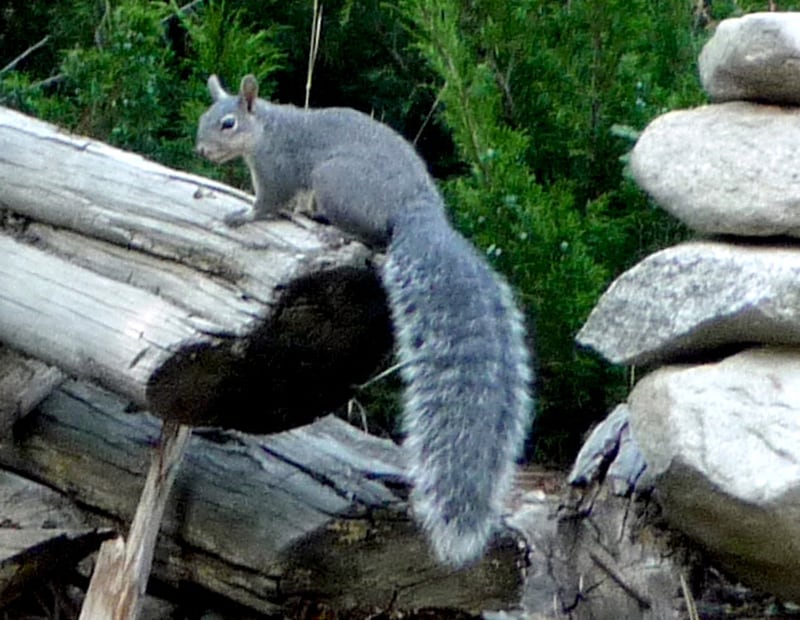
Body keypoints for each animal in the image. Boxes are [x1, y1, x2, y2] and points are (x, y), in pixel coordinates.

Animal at [195, 74, 536, 568]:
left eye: (228, 123)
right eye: (206, 118)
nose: (202, 150)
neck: (269, 128)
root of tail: (417, 210)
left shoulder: (279, 168)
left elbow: (267, 204)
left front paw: (242, 215)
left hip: (334, 180)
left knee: (372, 237)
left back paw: (334, 230)